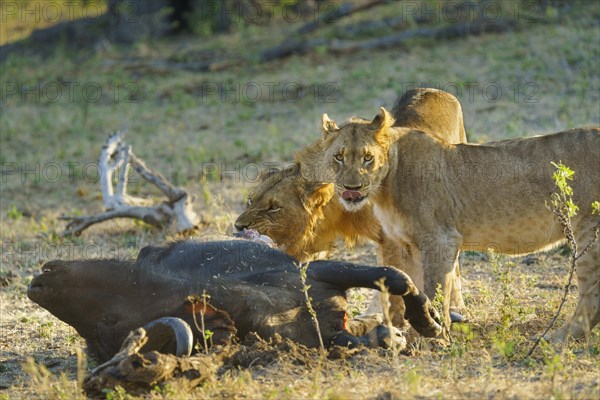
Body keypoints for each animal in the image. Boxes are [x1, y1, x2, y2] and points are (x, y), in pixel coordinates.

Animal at [238, 89, 468, 326]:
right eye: (250, 201)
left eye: (274, 207)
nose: (238, 226)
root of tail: (433, 90)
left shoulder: (392, 240)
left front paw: (397, 323)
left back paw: (456, 306)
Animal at [314, 107, 600, 340]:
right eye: (339, 157)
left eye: (367, 158)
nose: (351, 188)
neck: (386, 184)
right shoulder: (411, 246)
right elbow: (412, 287)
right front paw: (415, 333)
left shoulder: (440, 240)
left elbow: (434, 290)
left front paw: (434, 337)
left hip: (589, 231)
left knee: (591, 296)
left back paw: (557, 338)